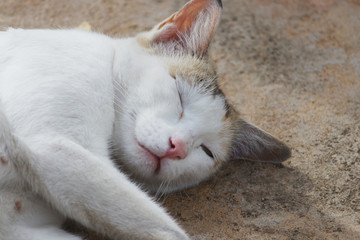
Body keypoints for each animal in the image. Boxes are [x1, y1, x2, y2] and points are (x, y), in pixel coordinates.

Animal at [0, 0, 290, 239]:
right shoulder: (51, 144)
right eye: (179, 97)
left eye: (207, 151)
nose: (177, 146)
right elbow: (168, 230)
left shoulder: (18, 227)